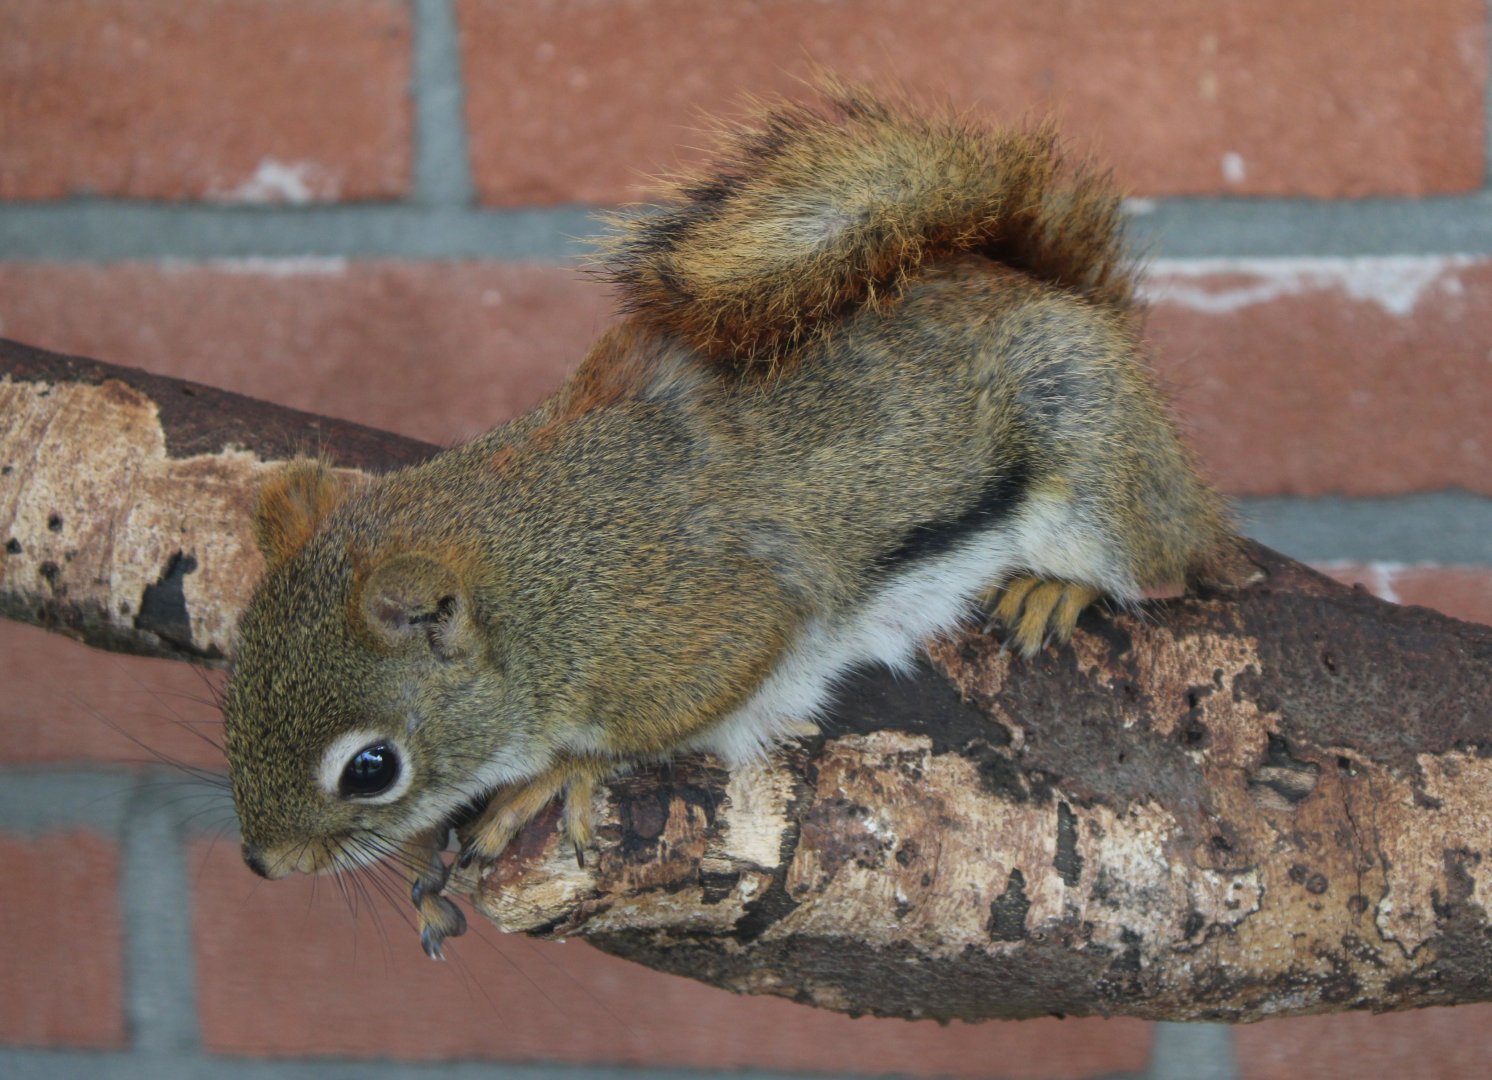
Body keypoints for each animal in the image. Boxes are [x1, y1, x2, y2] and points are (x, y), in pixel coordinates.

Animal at [222, 88, 1228, 960]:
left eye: (371, 767)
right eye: (229, 699)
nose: (263, 864)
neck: (531, 586)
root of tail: (1067, 302)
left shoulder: (696, 630)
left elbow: (649, 726)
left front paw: (555, 776)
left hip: (1094, 464)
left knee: (1168, 553)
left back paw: (1063, 586)